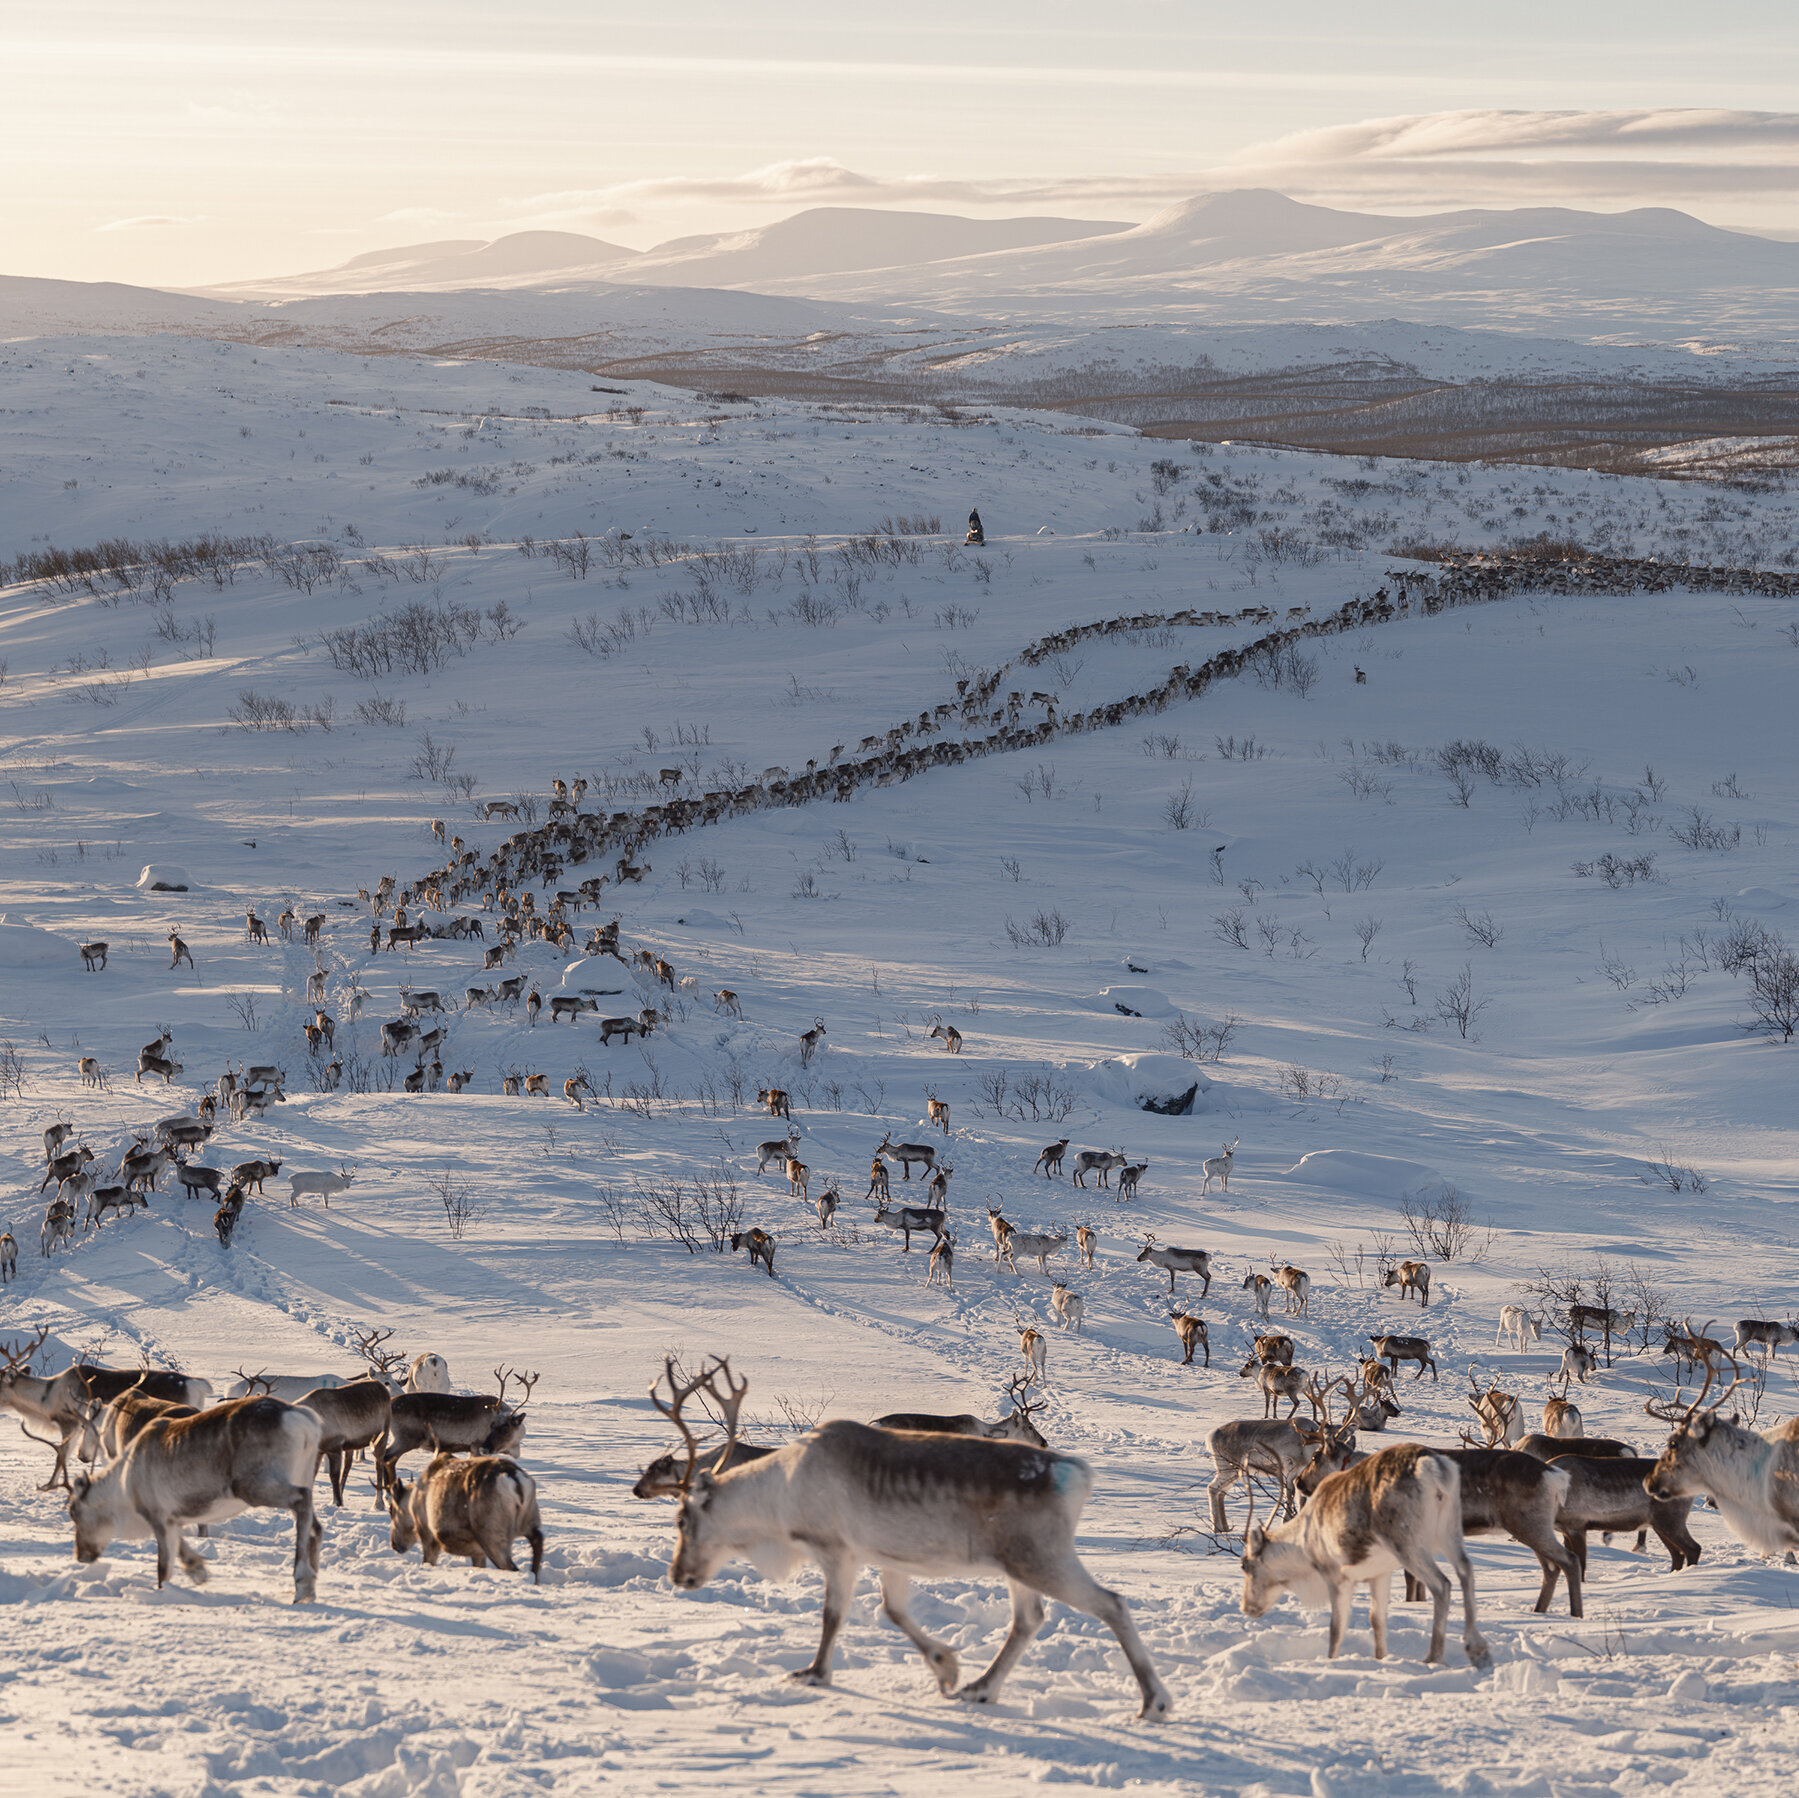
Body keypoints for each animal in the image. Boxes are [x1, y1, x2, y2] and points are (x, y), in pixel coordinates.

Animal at [389, 1453, 544, 1581]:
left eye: (392, 1510)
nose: (394, 1545)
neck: (411, 1501)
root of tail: (516, 1481)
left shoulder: (428, 1537)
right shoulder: (478, 1553)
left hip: (492, 1536)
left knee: (511, 1567)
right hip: (530, 1519)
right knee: (538, 1539)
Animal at [650, 1358, 1169, 1715]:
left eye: (683, 1520)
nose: (679, 1575)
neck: (781, 1492)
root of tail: (1078, 1474)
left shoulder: (838, 1549)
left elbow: (833, 1616)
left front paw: (815, 1673)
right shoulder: (885, 1555)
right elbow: (893, 1611)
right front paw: (945, 1667)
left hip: (1040, 1556)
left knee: (1109, 1603)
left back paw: (1154, 1702)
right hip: (1019, 1561)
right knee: (1030, 1618)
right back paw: (981, 1688)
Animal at [1240, 1442, 1491, 1668]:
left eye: (1245, 1566)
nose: (1246, 1608)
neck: (1304, 1544)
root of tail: (1432, 1466)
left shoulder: (1336, 1575)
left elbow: (1336, 1628)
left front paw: (1331, 1662)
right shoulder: (1379, 1573)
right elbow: (1377, 1619)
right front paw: (1380, 1659)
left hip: (1407, 1543)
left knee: (1442, 1584)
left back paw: (1434, 1657)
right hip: (1449, 1529)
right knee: (1465, 1569)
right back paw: (1477, 1649)